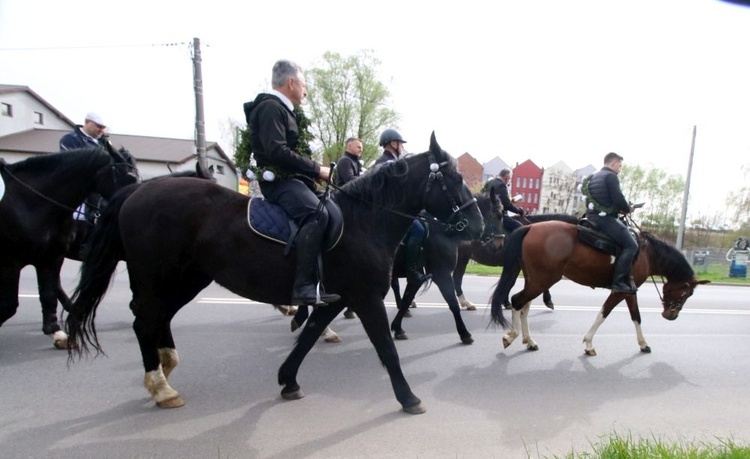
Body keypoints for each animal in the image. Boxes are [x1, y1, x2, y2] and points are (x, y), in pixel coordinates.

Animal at [0, 147, 138, 348]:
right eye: (129, 177)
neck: (31, 201)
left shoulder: (51, 257)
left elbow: (48, 293)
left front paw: (56, 332)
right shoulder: (11, 260)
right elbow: (9, 305)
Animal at [67, 132, 484, 414]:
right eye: (455, 180)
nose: (478, 226)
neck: (364, 220)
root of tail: (137, 191)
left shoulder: (336, 298)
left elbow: (310, 335)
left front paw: (288, 380)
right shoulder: (366, 298)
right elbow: (386, 348)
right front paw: (408, 397)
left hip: (186, 279)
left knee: (157, 319)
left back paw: (165, 367)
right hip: (160, 278)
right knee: (145, 321)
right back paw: (161, 385)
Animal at [494, 221, 712, 358]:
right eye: (686, 293)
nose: (671, 316)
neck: (647, 254)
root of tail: (530, 227)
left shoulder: (630, 291)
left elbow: (636, 316)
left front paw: (643, 344)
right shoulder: (620, 291)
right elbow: (603, 314)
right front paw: (589, 344)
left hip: (536, 280)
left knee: (525, 305)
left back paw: (529, 340)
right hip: (542, 280)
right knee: (517, 301)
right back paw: (511, 336)